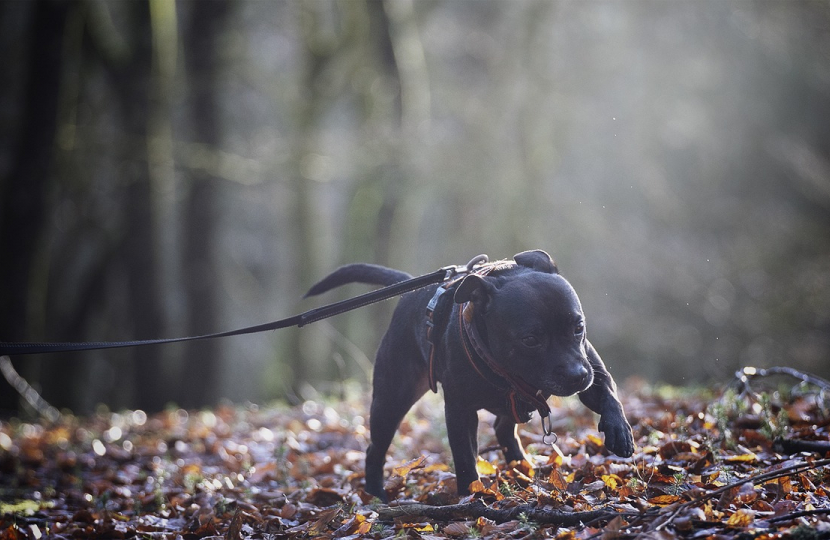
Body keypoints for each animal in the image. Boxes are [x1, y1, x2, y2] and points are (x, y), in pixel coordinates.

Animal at [308, 249, 636, 498]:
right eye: (531, 339)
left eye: (578, 327)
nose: (576, 375)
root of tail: (411, 290)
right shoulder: (460, 410)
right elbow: (465, 457)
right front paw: (471, 496)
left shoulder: (592, 370)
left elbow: (608, 395)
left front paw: (619, 431)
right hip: (391, 400)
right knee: (375, 449)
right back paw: (376, 495)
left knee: (504, 429)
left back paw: (522, 467)